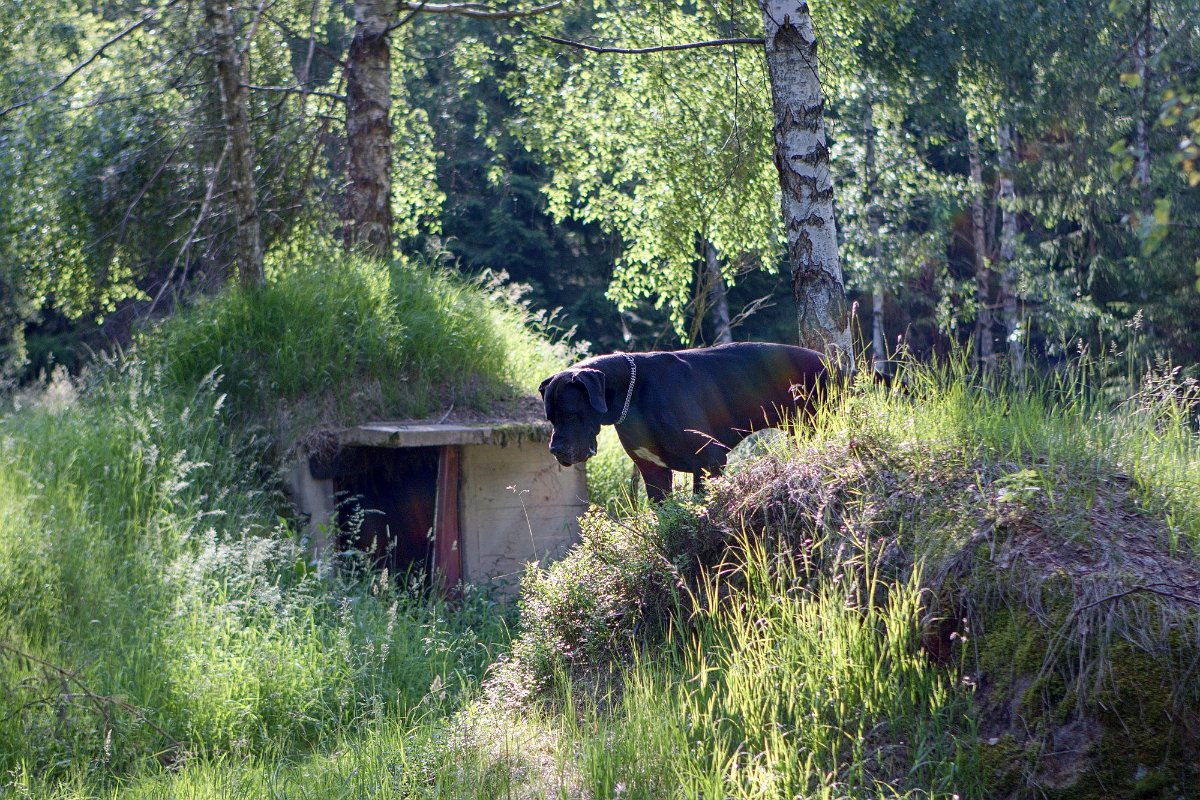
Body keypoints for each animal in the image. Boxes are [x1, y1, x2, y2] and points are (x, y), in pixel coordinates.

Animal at [542, 343, 835, 501]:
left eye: (570, 414)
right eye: (550, 418)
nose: (555, 450)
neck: (633, 394)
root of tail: (836, 362)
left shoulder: (709, 460)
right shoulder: (653, 472)